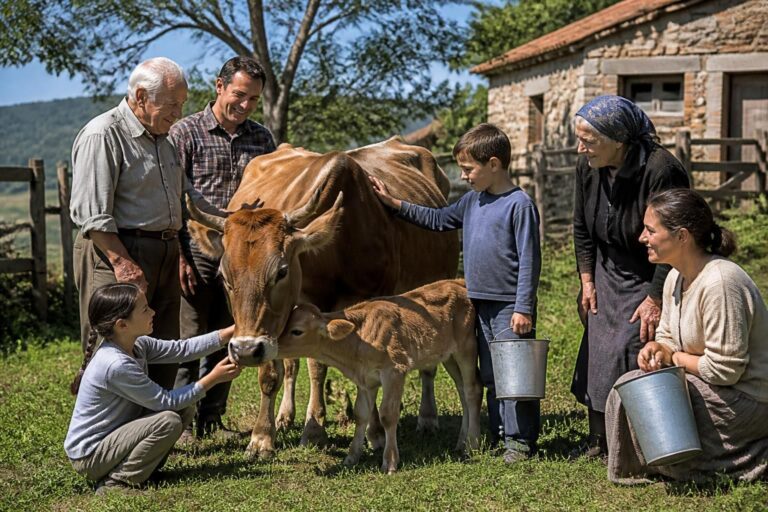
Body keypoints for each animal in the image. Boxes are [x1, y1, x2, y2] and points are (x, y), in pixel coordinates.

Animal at [186, 137, 460, 459]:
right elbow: (274, 370)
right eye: (223, 275)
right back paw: (284, 416)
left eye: (281, 271)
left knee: (429, 364)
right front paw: (262, 437)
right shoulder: (272, 322)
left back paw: (427, 418)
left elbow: (327, 365)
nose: (244, 351)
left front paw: (349, 431)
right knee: (290, 364)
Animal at [274, 279, 482, 474]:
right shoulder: (366, 380)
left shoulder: (395, 371)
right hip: (449, 356)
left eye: (297, 331)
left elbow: (388, 415)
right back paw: (461, 442)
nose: (272, 344)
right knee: (462, 391)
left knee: (473, 390)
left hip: (467, 347)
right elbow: (361, 414)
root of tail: (458, 282)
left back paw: (472, 444)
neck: (359, 337)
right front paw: (352, 456)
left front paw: (389, 461)